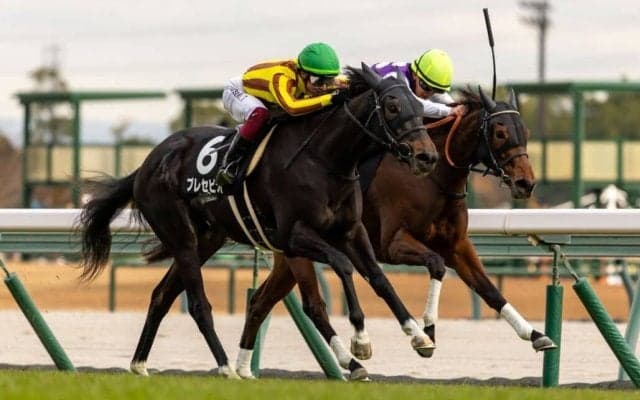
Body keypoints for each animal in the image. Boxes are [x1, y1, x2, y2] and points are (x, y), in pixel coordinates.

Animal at [78, 63, 439, 380]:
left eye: (418, 105)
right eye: (392, 106)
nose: (427, 157)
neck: (324, 159)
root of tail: (147, 164)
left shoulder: (352, 231)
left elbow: (379, 279)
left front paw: (418, 335)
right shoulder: (293, 236)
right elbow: (342, 266)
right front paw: (361, 341)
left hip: (208, 239)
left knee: (161, 295)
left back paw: (140, 364)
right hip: (181, 236)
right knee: (198, 304)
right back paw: (226, 367)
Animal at [238, 87, 556, 380]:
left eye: (525, 131)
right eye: (500, 133)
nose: (526, 183)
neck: (434, 177)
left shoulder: (457, 245)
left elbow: (488, 289)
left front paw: (535, 334)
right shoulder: (394, 244)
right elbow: (436, 265)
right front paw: (428, 331)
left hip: (289, 255)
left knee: (260, 302)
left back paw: (242, 368)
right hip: (299, 251)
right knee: (312, 305)